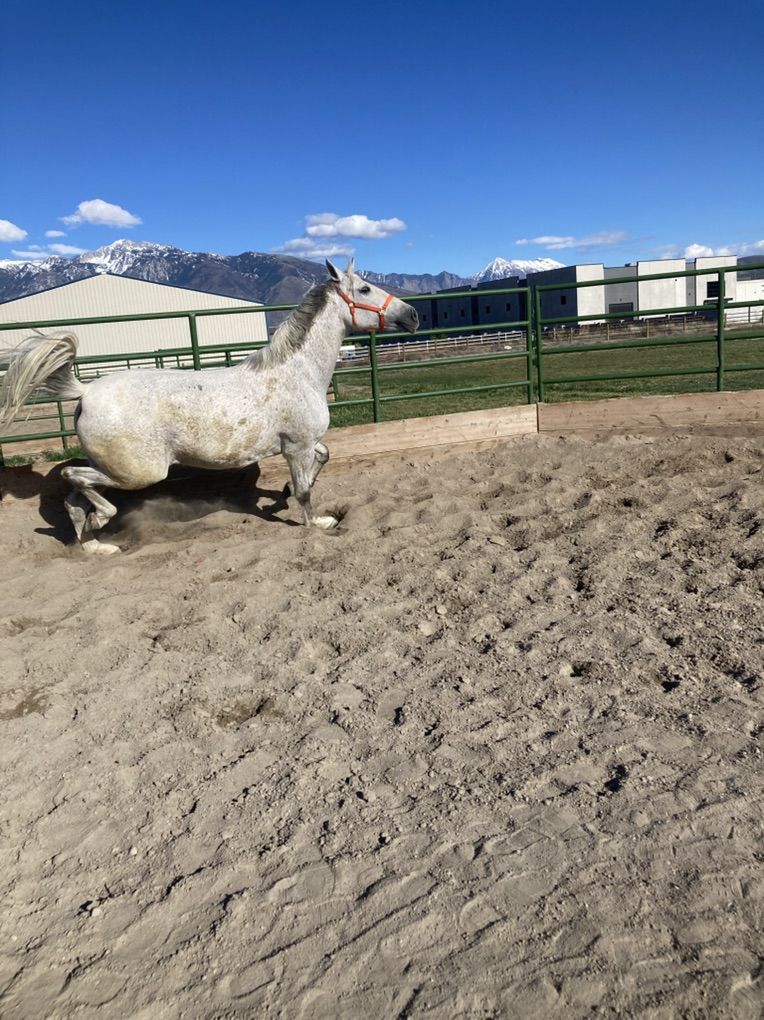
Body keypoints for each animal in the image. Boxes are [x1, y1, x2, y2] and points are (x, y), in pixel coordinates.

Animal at [0, 259, 419, 554]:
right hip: (139, 472)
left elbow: (324, 457)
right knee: (76, 480)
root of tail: (86, 392)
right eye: (364, 287)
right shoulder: (296, 446)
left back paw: (93, 546)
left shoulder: (304, 444)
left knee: (73, 498)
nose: (413, 316)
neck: (297, 372)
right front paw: (318, 523)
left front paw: (284, 493)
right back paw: (103, 522)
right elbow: (304, 492)